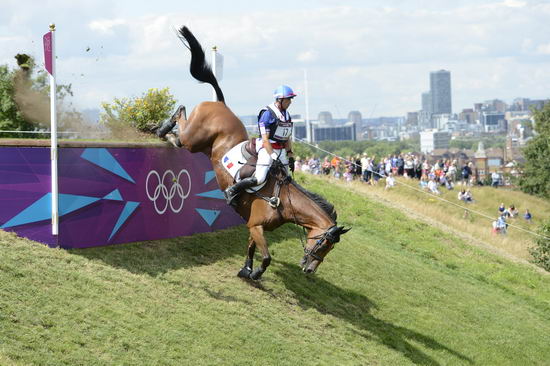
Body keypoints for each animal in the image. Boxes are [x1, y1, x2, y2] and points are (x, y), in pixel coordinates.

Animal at [170, 26, 350, 280]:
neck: (284, 201)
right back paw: (162, 128)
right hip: (193, 139)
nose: (309, 270)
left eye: (330, 247)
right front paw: (254, 274)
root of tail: (221, 103)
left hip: (200, 145)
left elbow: (251, 248)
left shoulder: (255, 226)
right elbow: (266, 257)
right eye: (324, 244)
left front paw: (245, 270)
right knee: (180, 119)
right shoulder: (256, 225)